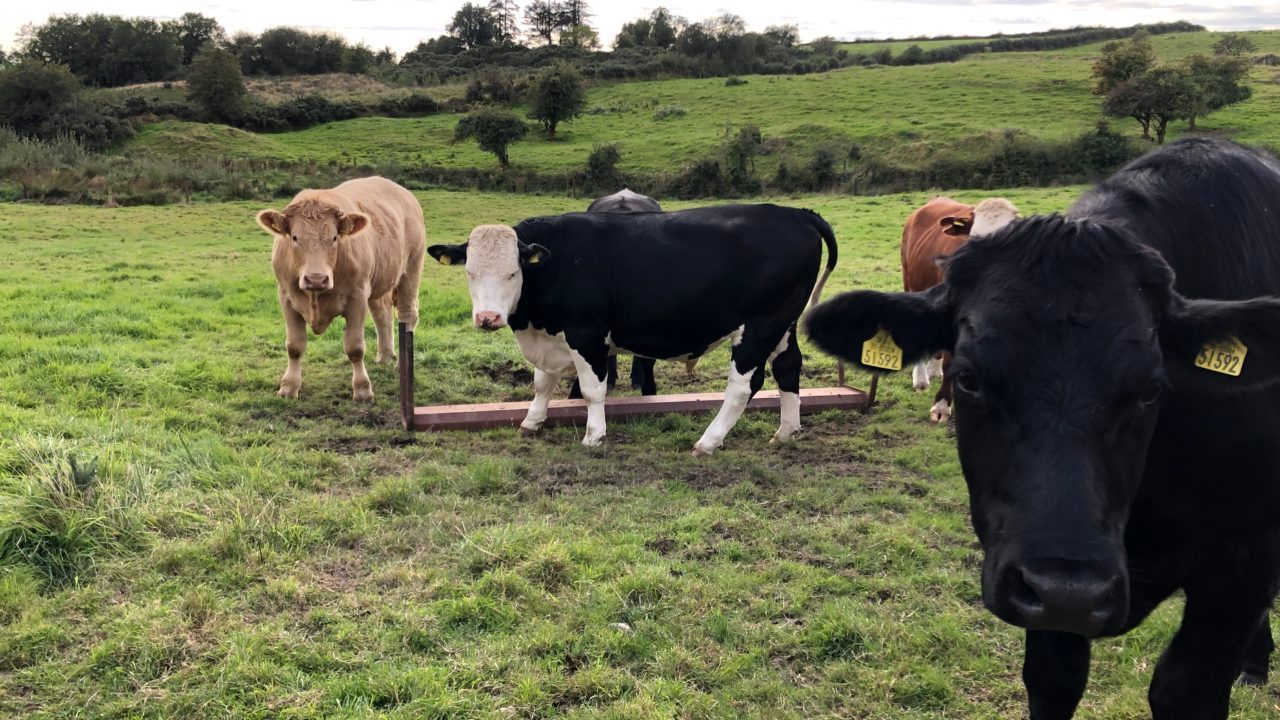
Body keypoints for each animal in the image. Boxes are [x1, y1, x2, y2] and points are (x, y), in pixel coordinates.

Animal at [256, 176, 425, 402]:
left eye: (335, 237)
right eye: (294, 237)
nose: (316, 279)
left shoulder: (357, 297)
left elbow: (354, 348)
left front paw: (362, 390)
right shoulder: (286, 296)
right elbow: (294, 346)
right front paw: (289, 387)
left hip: (411, 269)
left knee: (407, 315)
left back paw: (400, 364)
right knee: (382, 315)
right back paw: (384, 356)